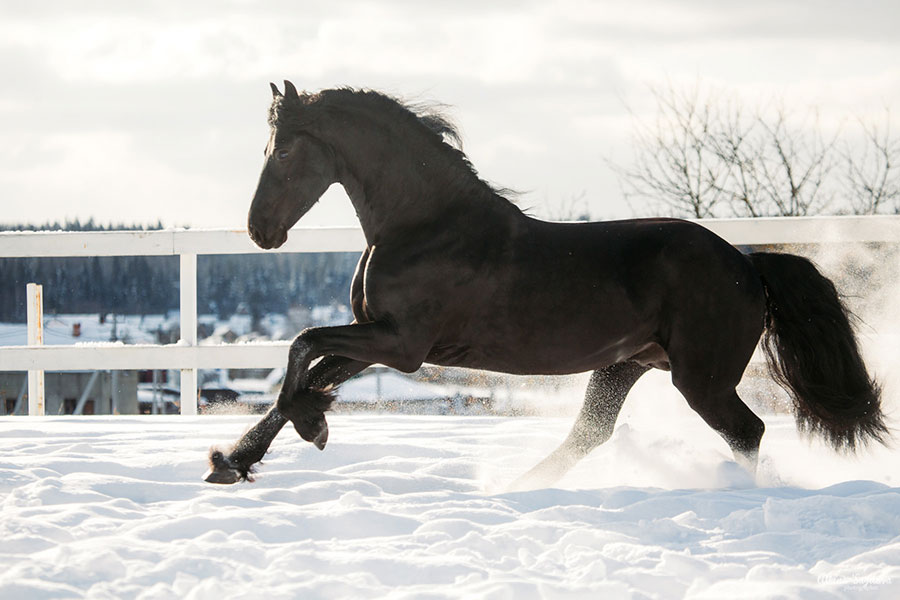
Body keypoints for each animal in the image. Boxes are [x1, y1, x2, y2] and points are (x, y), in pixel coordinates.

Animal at [204, 82, 884, 486]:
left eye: (283, 150)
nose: (260, 230)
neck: (425, 225)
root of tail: (747, 264)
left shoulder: (401, 344)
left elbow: (302, 347)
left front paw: (309, 428)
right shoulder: (378, 338)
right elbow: (309, 369)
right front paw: (234, 460)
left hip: (702, 379)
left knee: (747, 432)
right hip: (625, 364)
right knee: (591, 433)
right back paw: (519, 486)